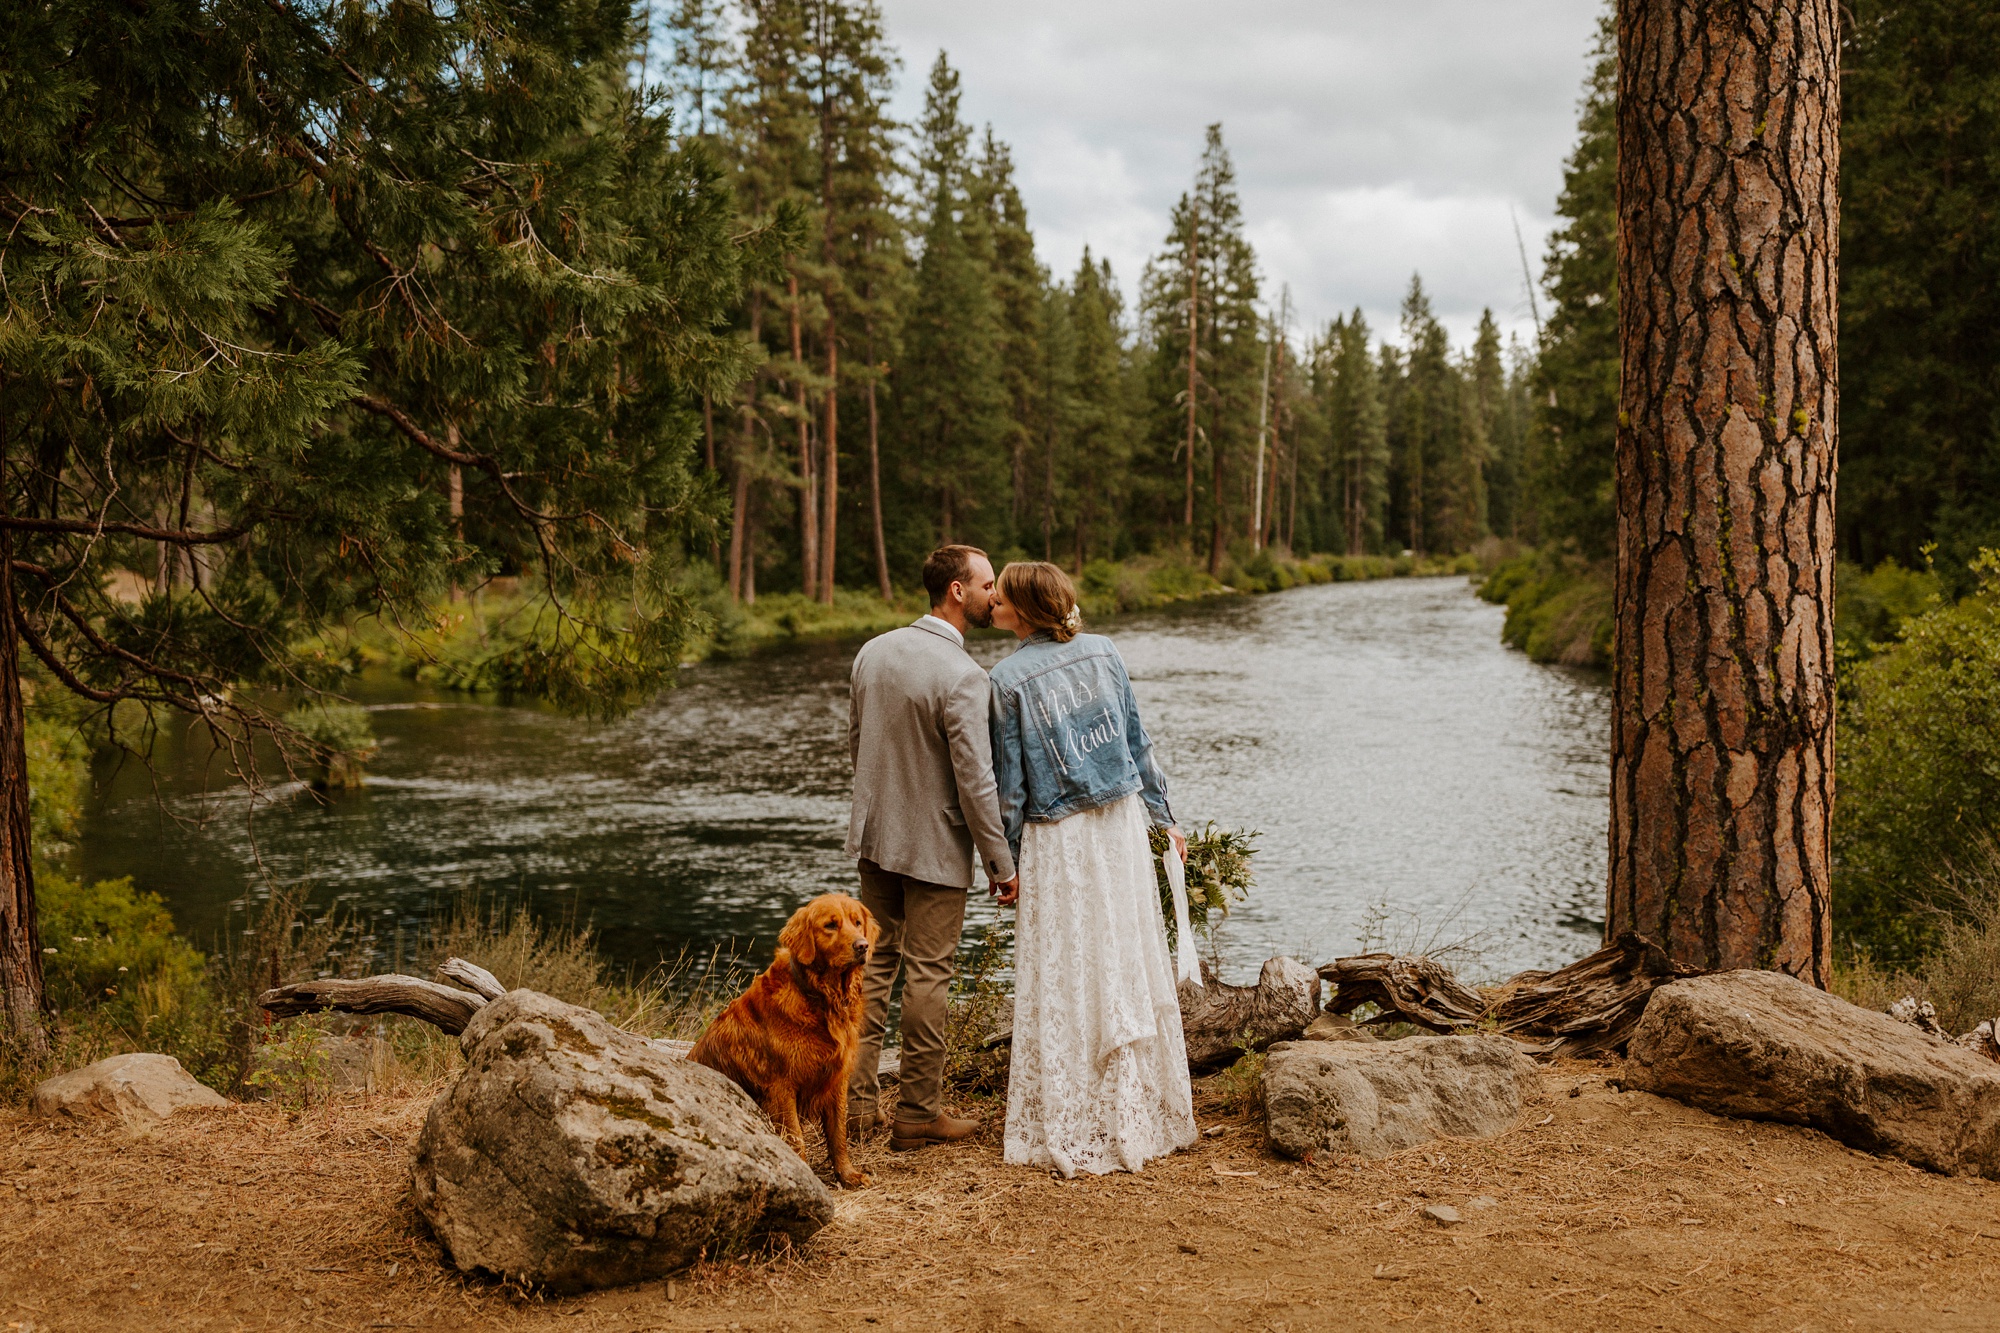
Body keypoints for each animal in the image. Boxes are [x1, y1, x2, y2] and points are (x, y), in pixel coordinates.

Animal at [688, 892, 876, 1184]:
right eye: (830, 925)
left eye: (857, 922)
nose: (862, 946)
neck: (820, 997)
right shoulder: (781, 1086)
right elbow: (796, 1140)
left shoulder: (837, 1080)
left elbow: (838, 1135)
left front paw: (847, 1174)